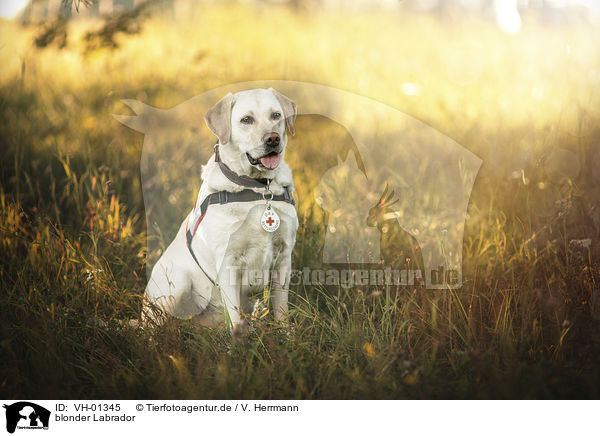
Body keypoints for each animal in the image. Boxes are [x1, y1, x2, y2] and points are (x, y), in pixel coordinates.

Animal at [143, 88, 298, 330]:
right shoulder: (228, 263)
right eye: (246, 119)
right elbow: (234, 316)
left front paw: (286, 334)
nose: (273, 139)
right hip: (177, 284)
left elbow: (281, 308)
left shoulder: (283, 256)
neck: (257, 189)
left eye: (276, 115)